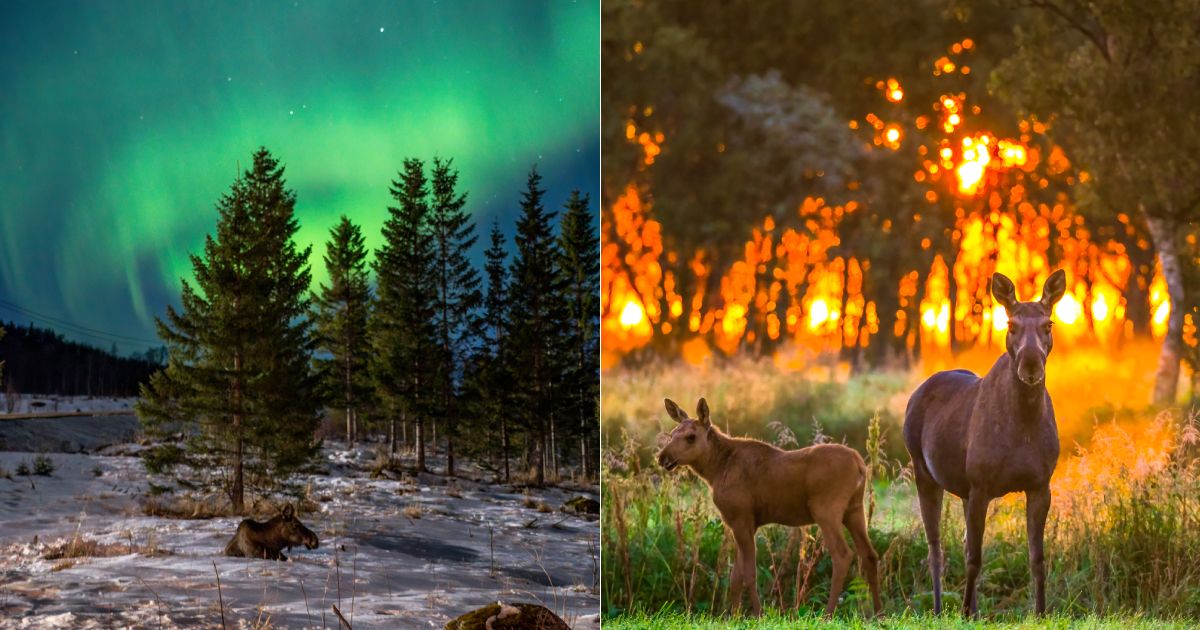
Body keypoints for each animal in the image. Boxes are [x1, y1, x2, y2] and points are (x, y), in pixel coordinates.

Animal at [657, 397, 882, 618]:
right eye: (672, 434)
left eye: (691, 437)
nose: (662, 457)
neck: (715, 471)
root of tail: (860, 464)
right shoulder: (744, 524)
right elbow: (735, 576)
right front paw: (735, 616)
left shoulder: (741, 518)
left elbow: (749, 574)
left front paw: (758, 614)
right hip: (854, 510)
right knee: (870, 555)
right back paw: (878, 613)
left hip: (826, 510)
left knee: (843, 555)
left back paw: (828, 614)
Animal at [903, 269, 1066, 617]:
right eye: (1011, 324)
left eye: (1048, 324)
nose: (1030, 365)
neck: (1024, 424)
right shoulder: (980, 484)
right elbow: (974, 558)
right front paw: (963, 611)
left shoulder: (1040, 484)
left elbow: (1037, 558)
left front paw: (1041, 611)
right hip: (923, 472)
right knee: (935, 547)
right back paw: (940, 608)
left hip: (963, 489)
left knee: (962, 541)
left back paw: (974, 610)